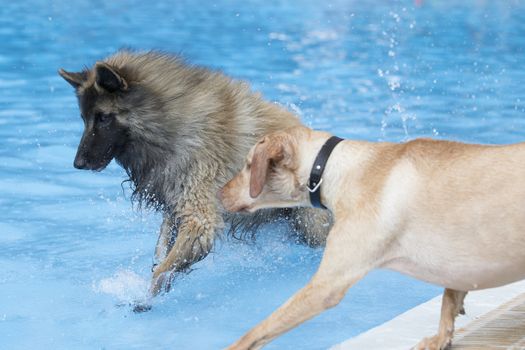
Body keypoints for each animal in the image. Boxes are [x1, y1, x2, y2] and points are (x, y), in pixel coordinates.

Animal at [59, 50, 332, 300]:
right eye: (84, 118)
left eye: (104, 118)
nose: (78, 163)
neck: (168, 119)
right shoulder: (175, 202)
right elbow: (162, 249)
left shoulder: (199, 214)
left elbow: (165, 266)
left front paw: (146, 298)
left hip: (309, 224)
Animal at [217, 126, 524, 350]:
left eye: (248, 165)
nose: (219, 193)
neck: (333, 169)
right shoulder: (458, 265)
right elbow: (449, 298)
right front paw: (441, 337)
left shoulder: (325, 286)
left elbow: (259, 329)